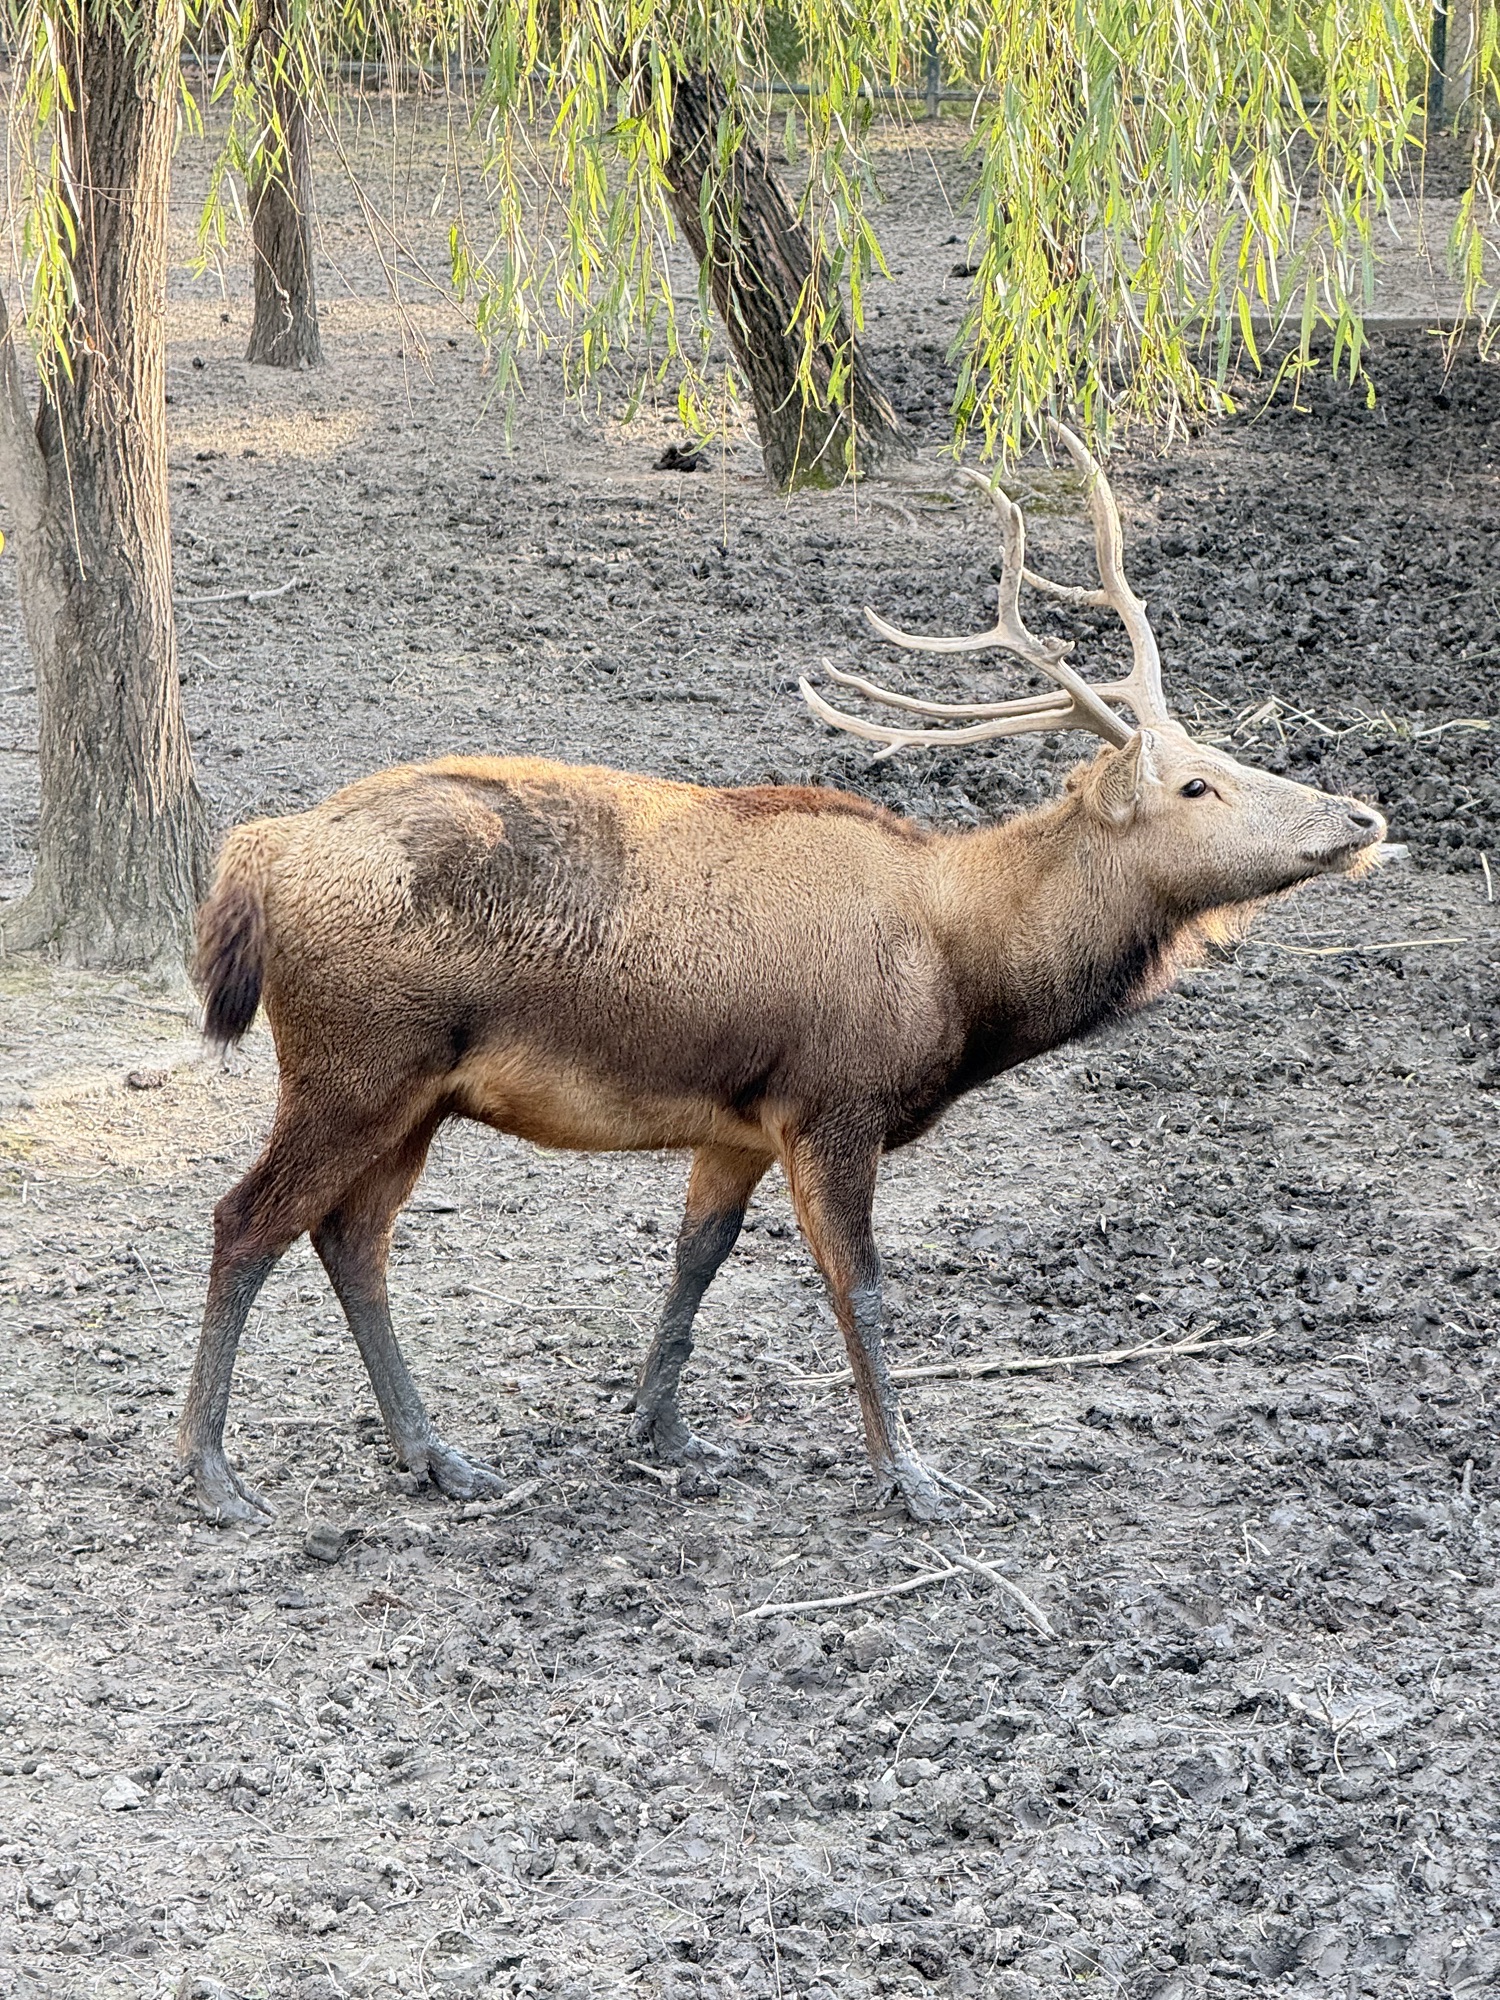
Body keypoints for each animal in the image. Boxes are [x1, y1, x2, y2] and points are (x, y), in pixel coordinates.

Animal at [178, 425, 1386, 1527]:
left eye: (1225, 755)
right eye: (1196, 785)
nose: (1362, 816)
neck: (962, 975)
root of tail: (263, 851)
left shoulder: (739, 1121)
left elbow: (695, 1261)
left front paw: (660, 1428)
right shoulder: (833, 1102)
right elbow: (863, 1286)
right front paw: (912, 1475)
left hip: (417, 1093)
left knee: (351, 1236)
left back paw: (433, 1453)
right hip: (354, 1063)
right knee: (246, 1219)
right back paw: (214, 1471)